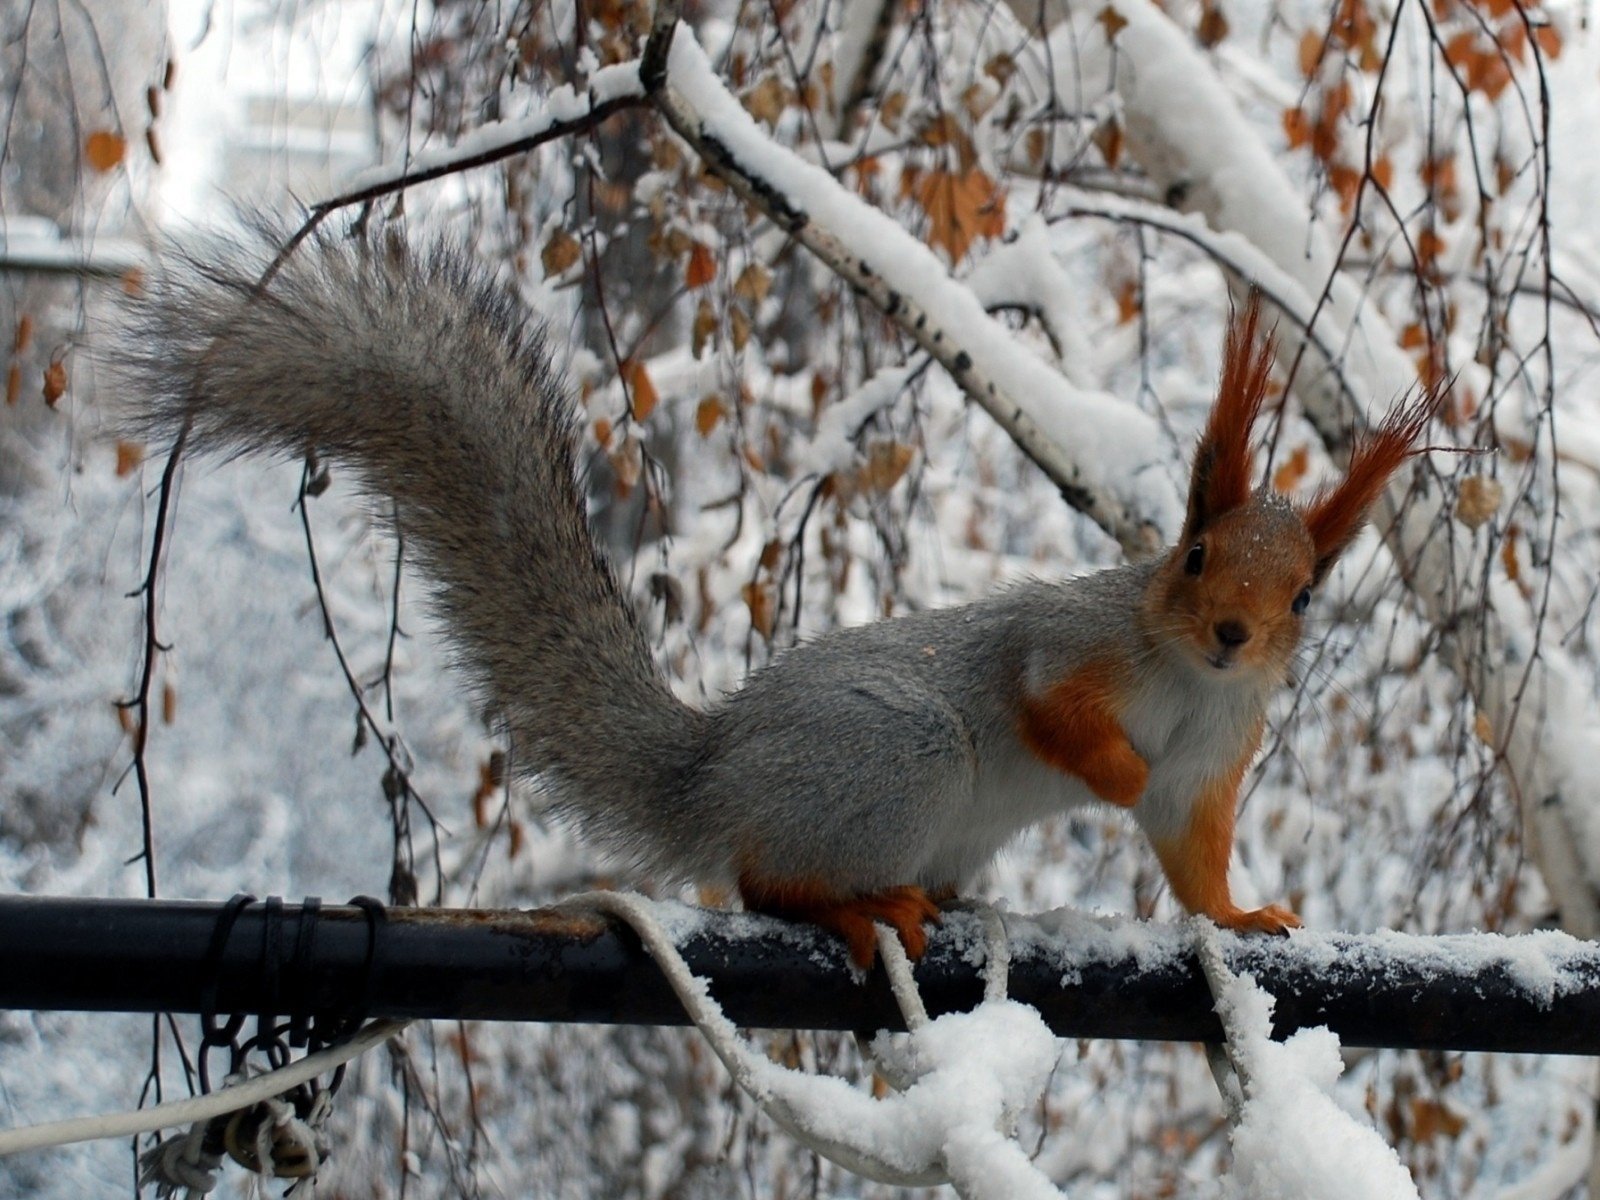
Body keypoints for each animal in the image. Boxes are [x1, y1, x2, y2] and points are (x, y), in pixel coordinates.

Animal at [112, 225, 1440, 972]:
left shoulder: (1212, 756)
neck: (1178, 678)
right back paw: (857, 907)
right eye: (1195, 555)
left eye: (1306, 596)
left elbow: (1188, 851)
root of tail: (716, 772)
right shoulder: (1067, 642)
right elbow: (1048, 706)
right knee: (765, 882)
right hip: (900, 758)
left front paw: (1241, 917)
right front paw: (1105, 769)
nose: (1230, 636)